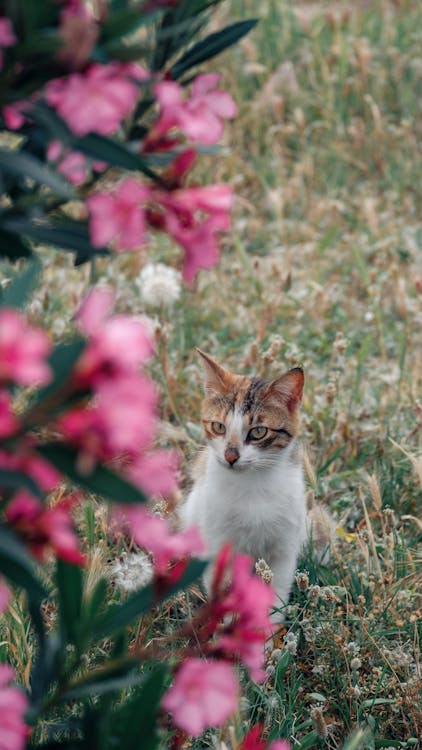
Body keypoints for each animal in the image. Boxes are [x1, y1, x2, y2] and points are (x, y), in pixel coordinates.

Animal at [180, 350, 332, 620]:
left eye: (259, 431)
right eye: (218, 426)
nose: (230, 456)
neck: (252, 484)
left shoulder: (283, 549)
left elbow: (276, 591)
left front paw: (269, 628)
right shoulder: (218, 544)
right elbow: (223, 587)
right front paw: (227, 626)